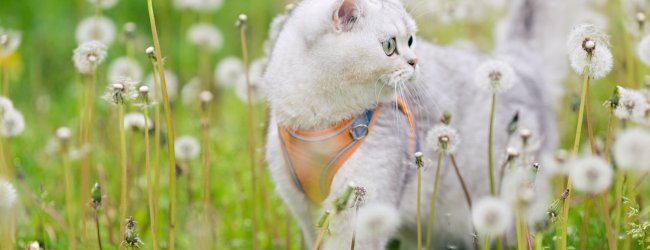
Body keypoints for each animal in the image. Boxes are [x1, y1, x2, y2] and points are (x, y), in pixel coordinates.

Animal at [262, 0, 572, 248]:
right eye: (389, 45)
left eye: (410, 40)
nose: (415, 61)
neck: (317, 121)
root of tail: (516, 64)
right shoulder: (305, 213)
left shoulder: (359, 217)